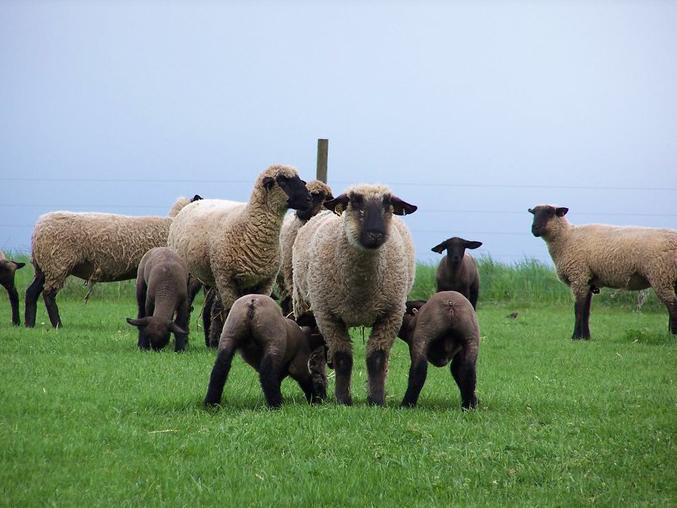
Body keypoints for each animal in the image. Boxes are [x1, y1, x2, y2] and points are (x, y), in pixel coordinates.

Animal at [25, 196, 200, 328]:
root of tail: (38, 228)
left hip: (44, 266)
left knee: (31, 292)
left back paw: (29, 324)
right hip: (57, 264)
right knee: (48, 295)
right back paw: (57, 325)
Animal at [168, 164, 311, 348]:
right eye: (283, 181)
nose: (308, 199)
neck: (248, 225)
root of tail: (190, 204)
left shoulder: (265, 281)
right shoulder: (227, 279)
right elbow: (231, 310)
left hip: (211, 278)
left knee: (210, 308)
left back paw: (210, 342)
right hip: (191, 274)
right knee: (186, 307)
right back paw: (183, 343)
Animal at [292, 184, 417, 406]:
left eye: (388, 203)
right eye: (355, 201)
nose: (375, 234)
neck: (361, 290)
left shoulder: (391, 314)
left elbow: (377, 357)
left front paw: (376, 400)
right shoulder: (327, 316)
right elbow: (342, 357)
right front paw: (343, 400)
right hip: (305, 308)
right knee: (316, 353)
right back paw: (319, 391)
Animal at [529, 204, 677, 339]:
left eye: (549, 213)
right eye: (534, 213)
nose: (534, 228)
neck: (566, 239)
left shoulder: (578, 276)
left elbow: (578, 310)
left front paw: (575, 337)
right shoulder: (588, 281)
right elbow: (586, 310)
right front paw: (585, 337)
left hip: (661, 275)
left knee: (672, 304)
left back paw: (672, 335)